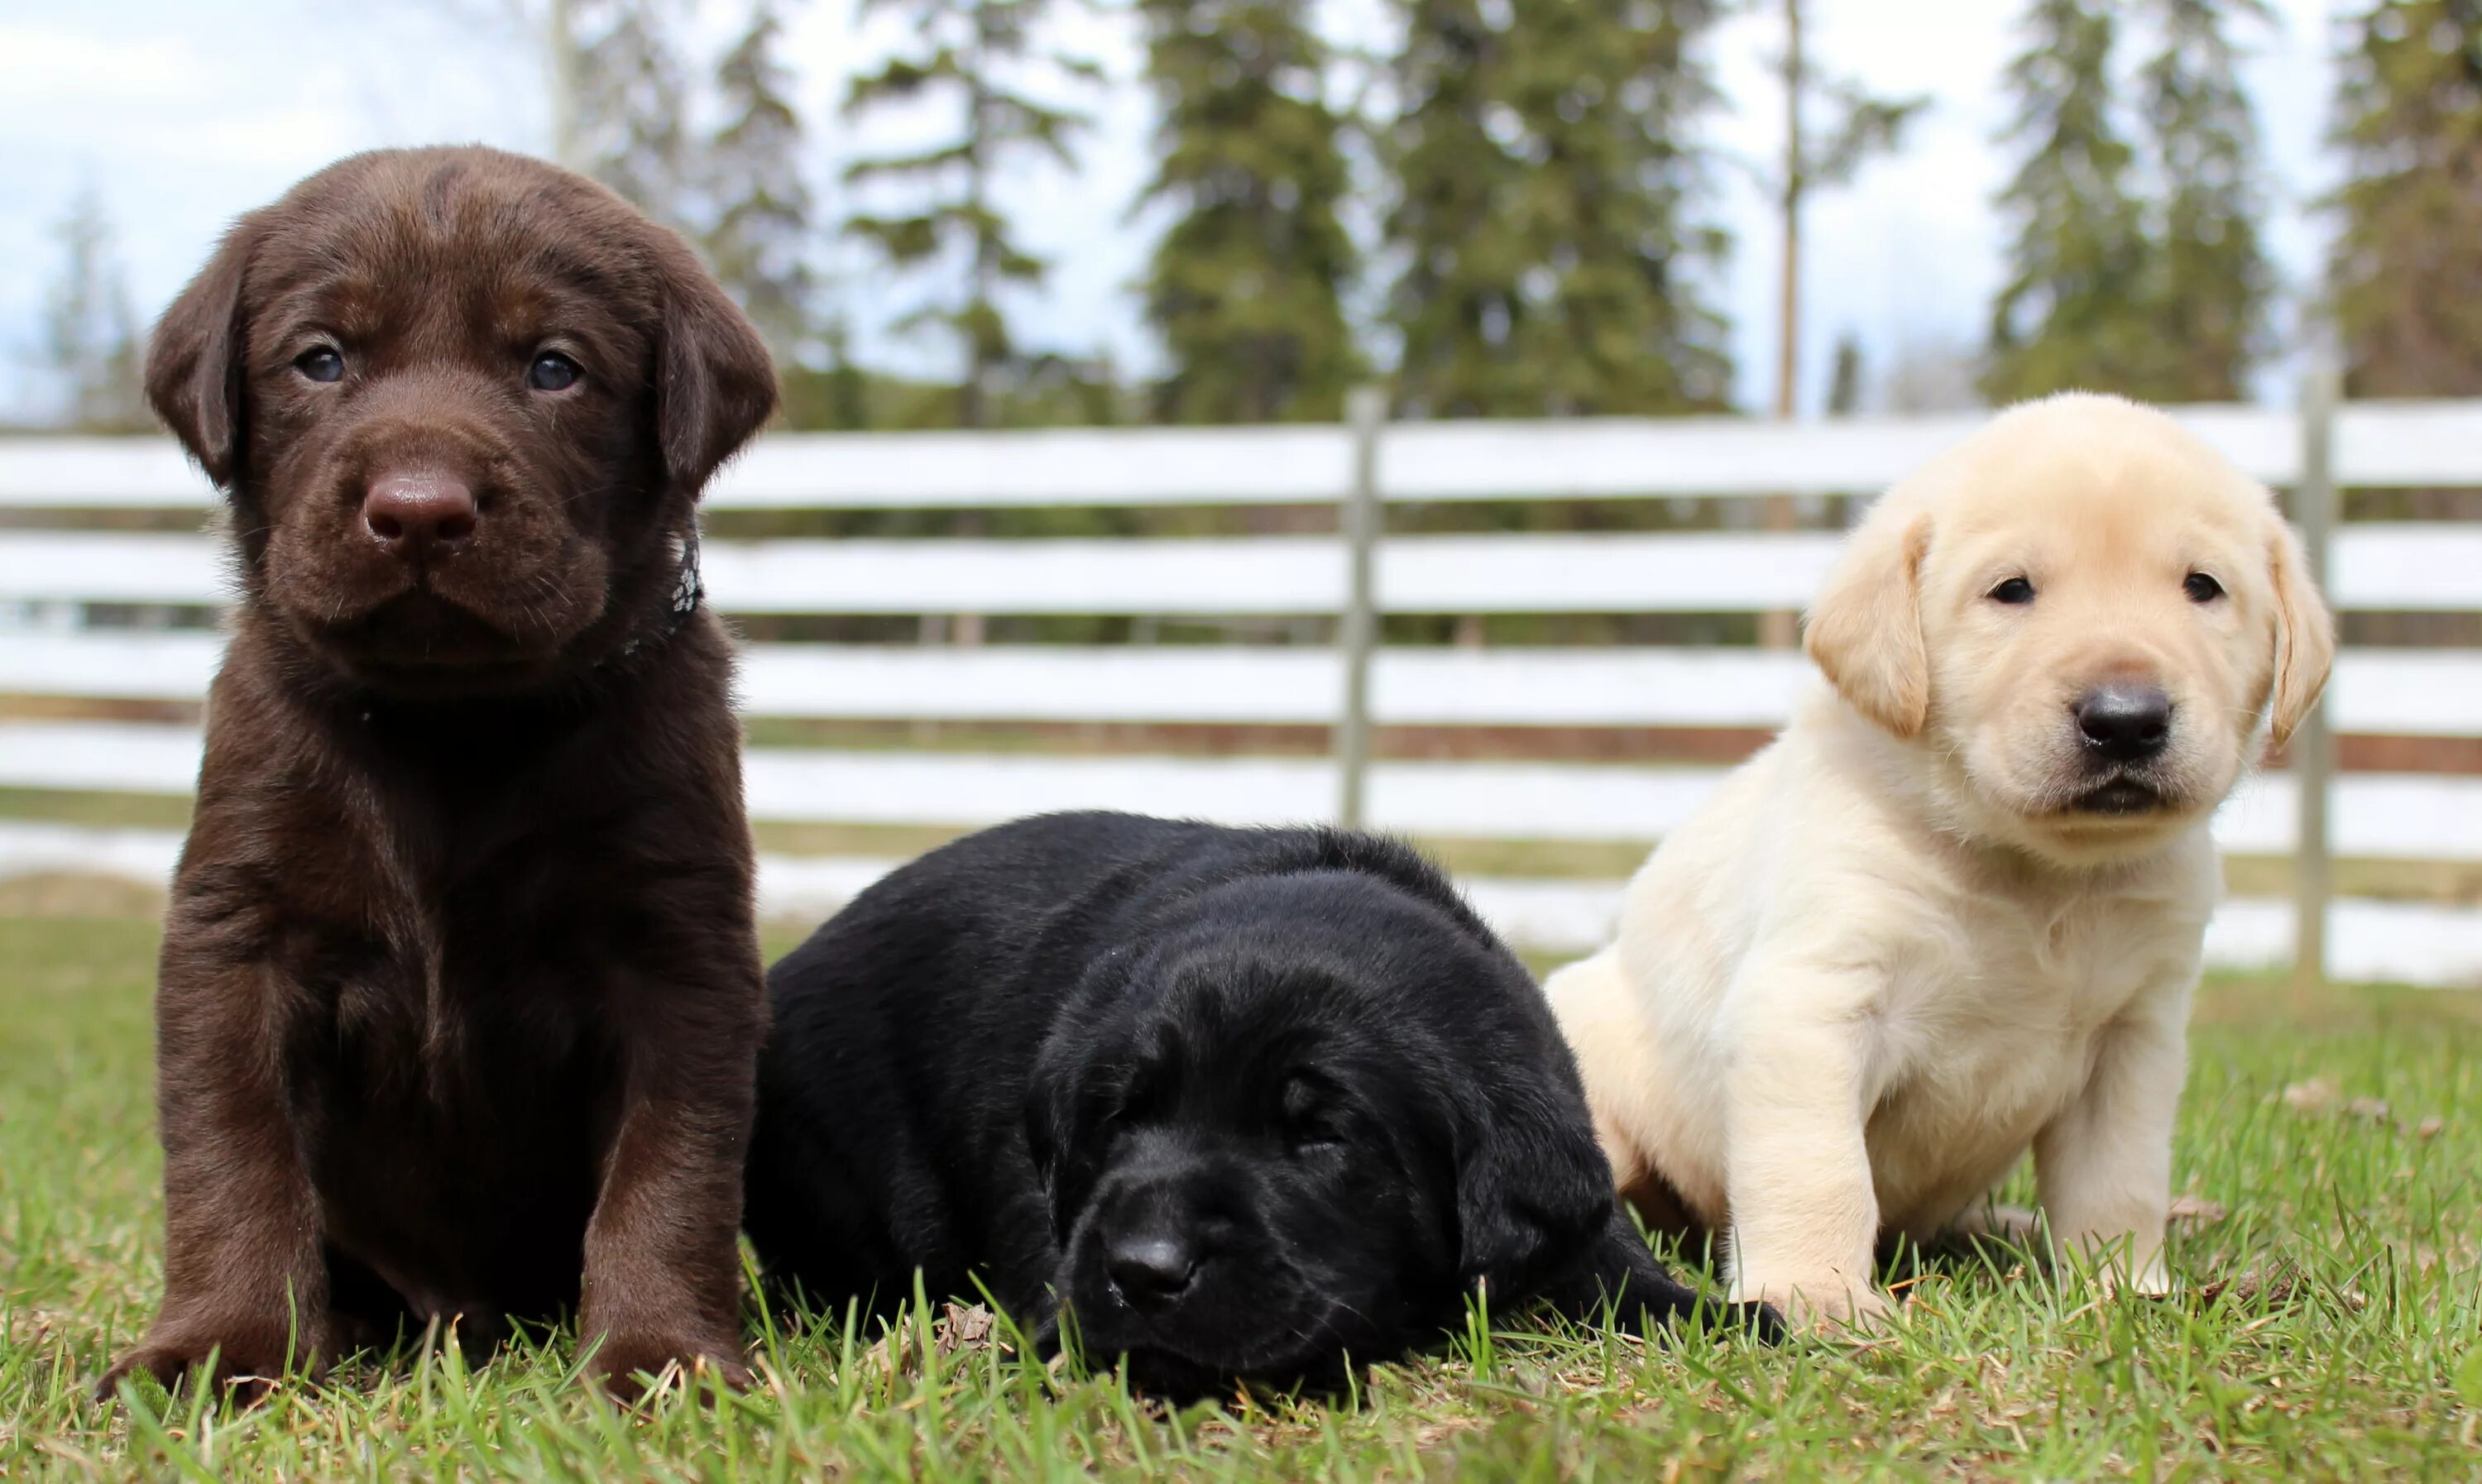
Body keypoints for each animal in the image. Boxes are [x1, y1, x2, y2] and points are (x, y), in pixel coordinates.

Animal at [1539, 392, 2333, 1330]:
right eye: (2012, 590)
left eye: (2203, 587)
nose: (2126, 718)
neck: (2040, 875)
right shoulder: (1812, 1004)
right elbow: (1818, 1171)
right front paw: (1815, 1298)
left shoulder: (2134, 1037)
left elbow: (2119, 1180)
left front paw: (2122, 1290)